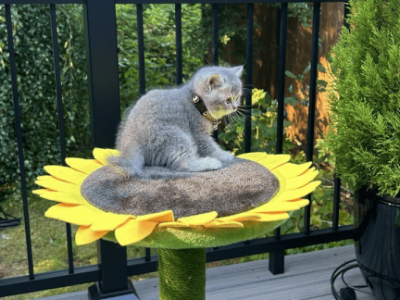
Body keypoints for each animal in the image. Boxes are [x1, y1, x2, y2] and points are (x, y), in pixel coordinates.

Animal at [108, 65, 242, 176]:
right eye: (228, 100)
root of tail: (130, 142)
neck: (196, 101)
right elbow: (210, 147)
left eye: (237, 98)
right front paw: (223, 155)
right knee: (184, 164)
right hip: (175, 137)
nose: (235, 107)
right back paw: (209, 163)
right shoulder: (199, 133)